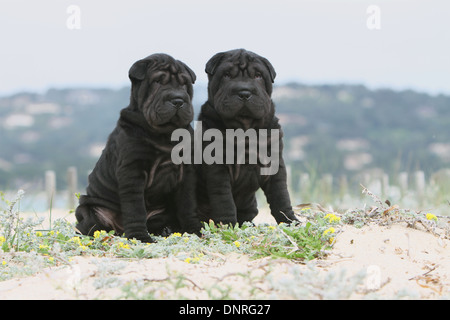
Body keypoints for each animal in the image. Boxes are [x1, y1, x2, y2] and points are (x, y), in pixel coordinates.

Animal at [76, 53, 202, 242]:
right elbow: (136, 208)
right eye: (158, 82)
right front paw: (139, 237)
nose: (178, 100)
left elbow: (188, 204)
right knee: (90, 225)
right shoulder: (132, 171)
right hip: (89, 210)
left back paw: (166, 230)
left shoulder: (186, 172)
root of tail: (120, 229)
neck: (165, 135)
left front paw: (194, 229)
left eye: (184, 83)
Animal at [198, 48, 298, 226]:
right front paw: (228, 226)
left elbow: (281, 195)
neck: (245, 128)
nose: (244, 92)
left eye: (258, 75)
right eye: (227, 75)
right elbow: (224, 200)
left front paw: (290, 221)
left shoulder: (275, 163)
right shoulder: (217, 168)